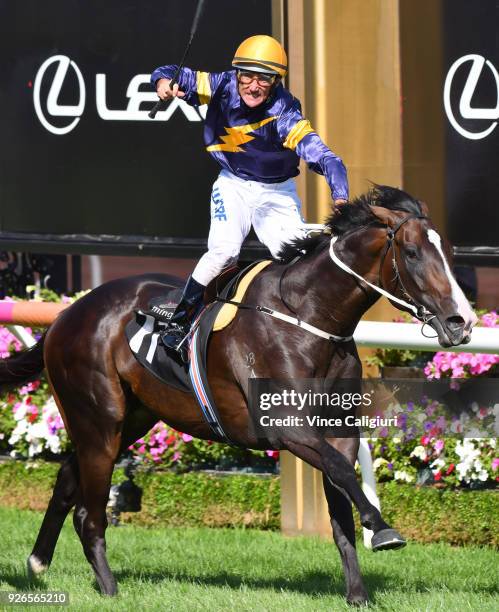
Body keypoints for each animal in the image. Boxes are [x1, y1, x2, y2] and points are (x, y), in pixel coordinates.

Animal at [0, 186, 476, 608]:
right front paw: (382, 529)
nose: (462, 322)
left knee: (67, 477)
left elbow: (341, 505)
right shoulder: (288, 428)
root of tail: (66, 314)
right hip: (98, 419)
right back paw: (109, 587)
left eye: (450, 253)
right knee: (90, 513)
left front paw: (357, 594)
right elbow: (343, 472)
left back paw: (38, 563)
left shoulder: (337, 431)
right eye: (411, 253)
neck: (309, 316)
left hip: (129, 420)